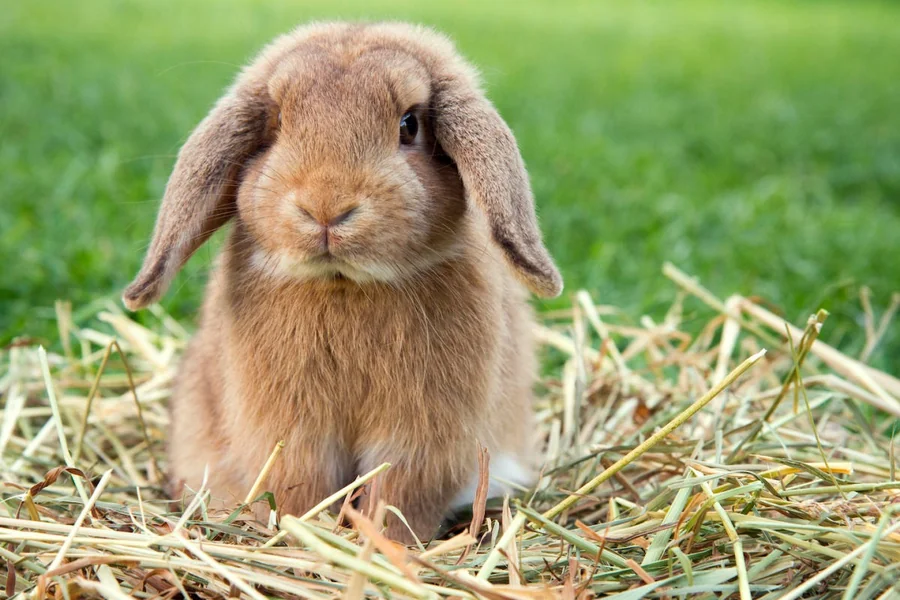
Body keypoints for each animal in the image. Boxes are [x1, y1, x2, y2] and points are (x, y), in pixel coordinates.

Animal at [123, 21, 562, 543]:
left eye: (409, 125)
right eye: (277, 122)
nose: (326, 207)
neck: (344, 284)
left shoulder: (421, 437)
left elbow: (396, 496)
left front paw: (384, 544)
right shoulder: (293, 434)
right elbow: (301, 488)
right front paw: (305, 535)